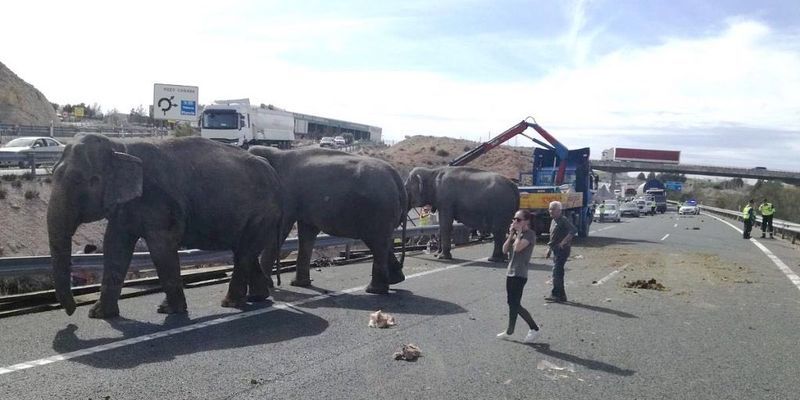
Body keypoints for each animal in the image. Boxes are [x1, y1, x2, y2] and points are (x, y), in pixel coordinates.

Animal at [47, 134, 284, 318]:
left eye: (89, 181)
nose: (71, 311)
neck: (120, 147)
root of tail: (273, 173)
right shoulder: (126, 205)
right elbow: (114, 246)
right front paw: (99, 315)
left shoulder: (158, 200)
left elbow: (161, 246)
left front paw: (169, 310)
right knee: (244, 251)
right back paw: (257, 297)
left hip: (261, 213)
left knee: (244, 252)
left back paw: (231, 303)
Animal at [248, 145, 406, 294]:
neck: (275, 153)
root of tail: (396, 176)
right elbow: (307, 234)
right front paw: (299, 284)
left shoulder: (287, 196)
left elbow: (282, 230)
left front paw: (269, 286)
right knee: (381, 243)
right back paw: (396, 280)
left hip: (378, 210)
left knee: (376, 243)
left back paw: (374, 290)